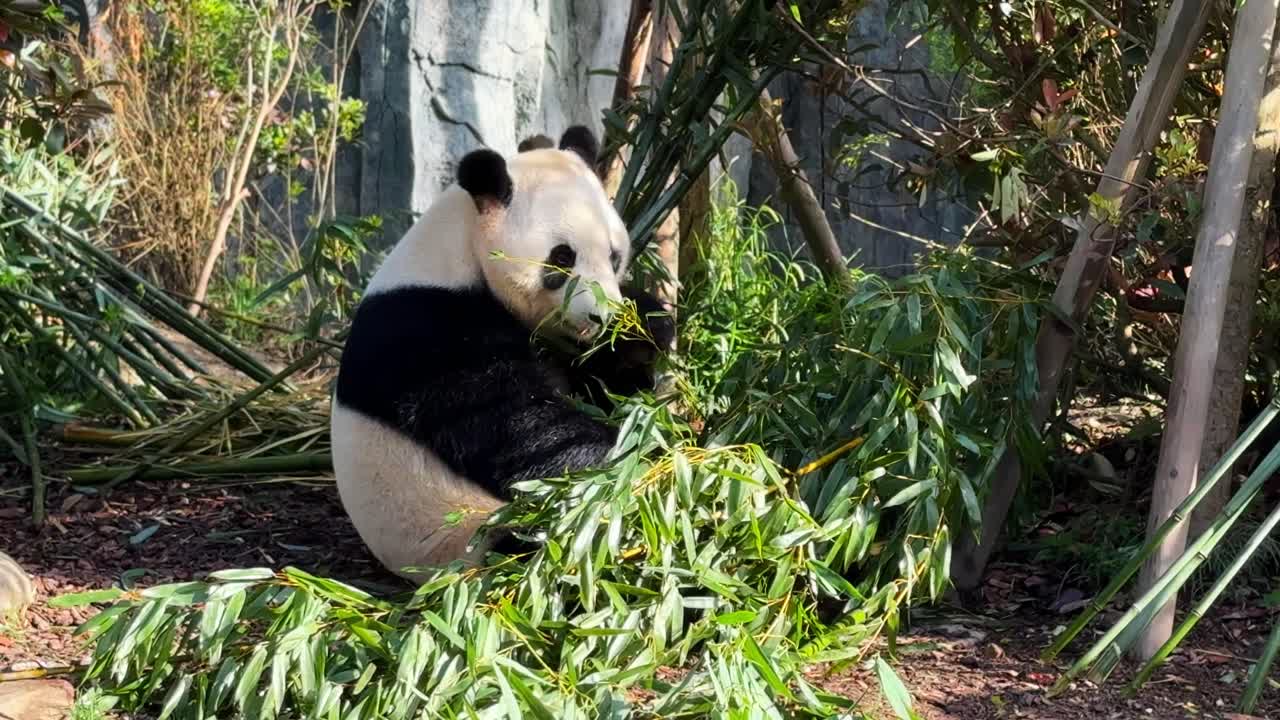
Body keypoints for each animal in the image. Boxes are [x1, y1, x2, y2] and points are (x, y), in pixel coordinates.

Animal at [331, 125, 673, 582]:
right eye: (562, 258)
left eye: (614, 256)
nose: (600, 318)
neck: (461, 249)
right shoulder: (429, 331)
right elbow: (518, 425)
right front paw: (638, 458)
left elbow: (609, 386)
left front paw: (642, 330)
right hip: (465, 532)